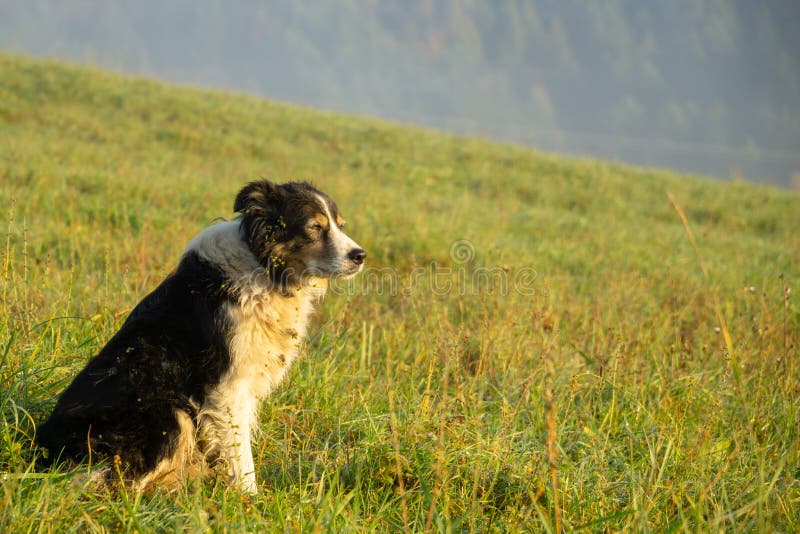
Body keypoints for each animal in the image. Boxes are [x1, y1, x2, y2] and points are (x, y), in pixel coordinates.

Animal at [35, 180, 366, 494]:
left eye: (340, 225)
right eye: (315, 227)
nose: (360, 255)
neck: (263, 268)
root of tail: (44, 454)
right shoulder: (226, 388)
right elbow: (241, 457)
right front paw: (250, 500)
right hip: (166, 413)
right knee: (119, 485)